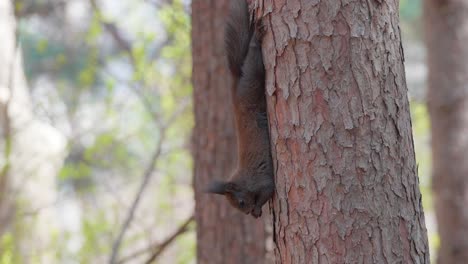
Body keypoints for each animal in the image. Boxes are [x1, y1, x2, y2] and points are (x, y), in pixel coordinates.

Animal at [205, 0, 274, 218]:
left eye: (241, 202)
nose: (249, 213)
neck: (244, 179)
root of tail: (236, 86)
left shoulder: (263, 181)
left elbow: (268, 192)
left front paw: (258, 208)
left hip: (253, 79)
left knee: (254, 57)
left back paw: (256, 37)